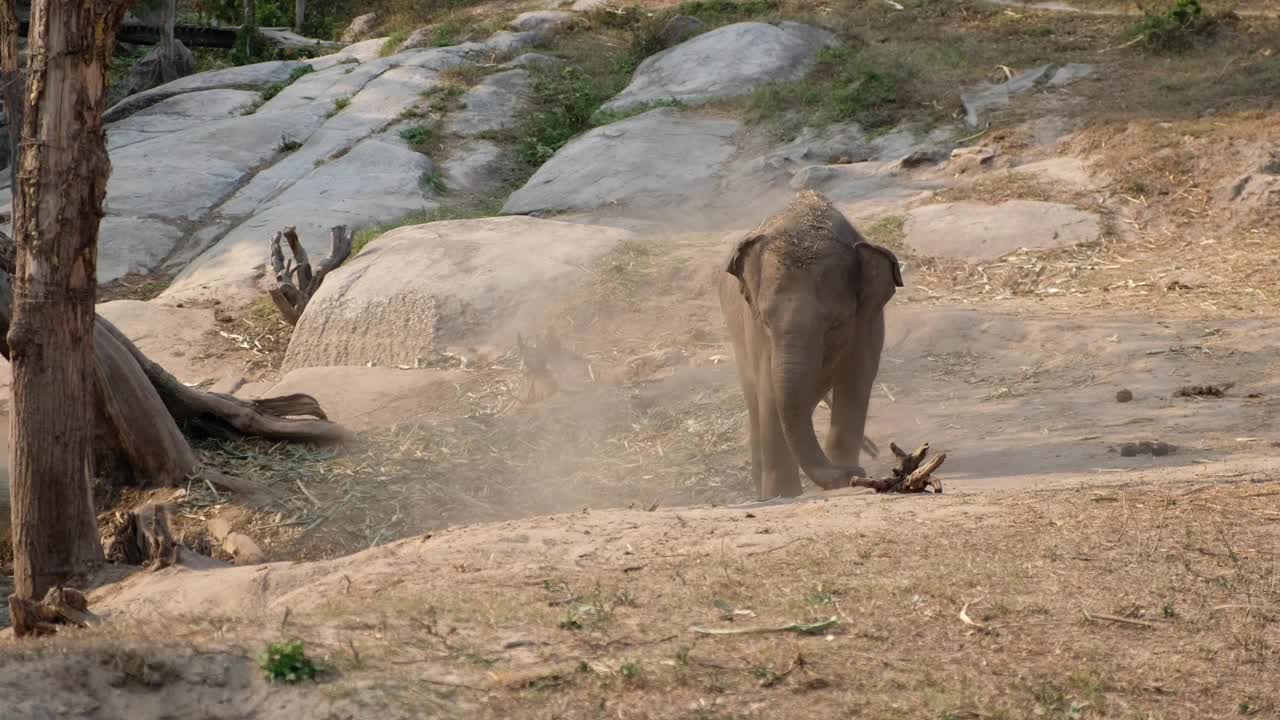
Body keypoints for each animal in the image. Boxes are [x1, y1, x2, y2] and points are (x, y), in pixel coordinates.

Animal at [716, 189, 906, 499]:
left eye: (836, 324)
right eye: (766, 320)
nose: (854, 472)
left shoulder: (867, 322)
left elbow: (855, 382)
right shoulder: (755, 330)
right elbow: (770, 391)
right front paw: (782, 494)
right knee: (757, 400)